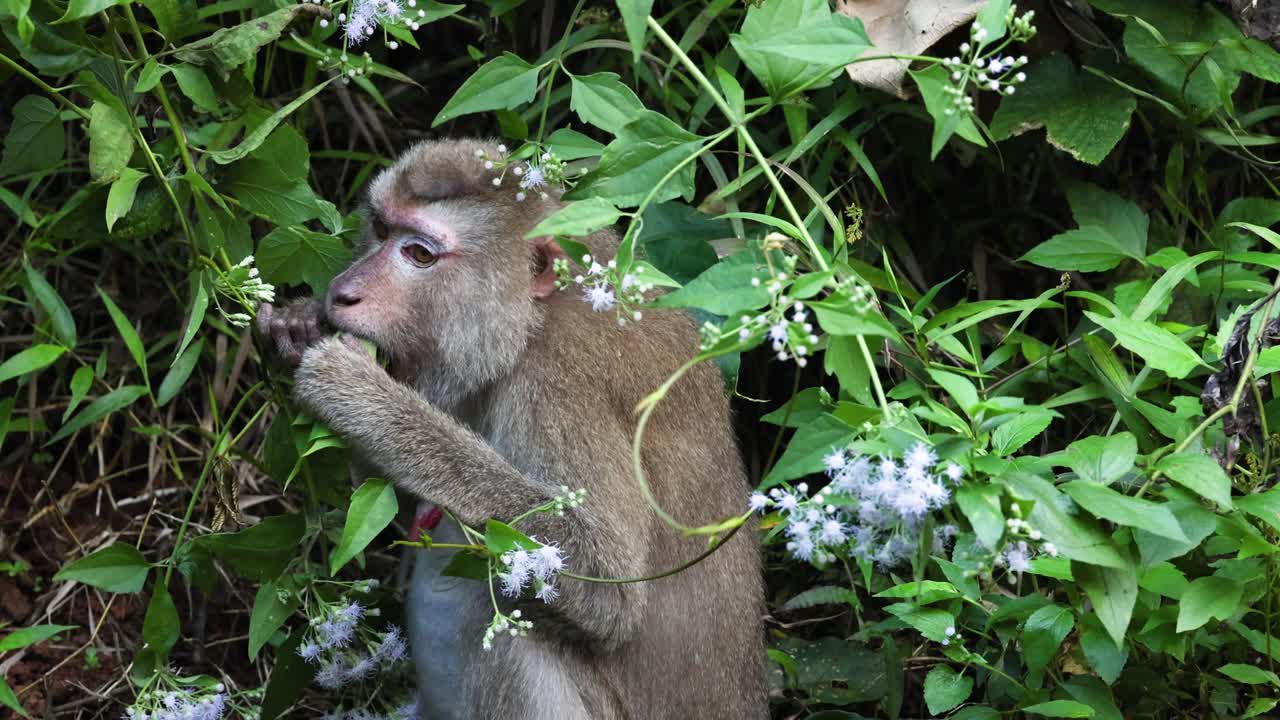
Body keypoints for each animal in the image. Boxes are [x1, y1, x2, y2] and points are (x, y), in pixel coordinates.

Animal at [258, 138, 767, 720]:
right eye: (381, 229)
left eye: (420, 255)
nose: (343, 292)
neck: (529, 323)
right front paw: (297, 326)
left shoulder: (559, 384)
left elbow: (608, 582)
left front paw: (363, 397)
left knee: (513, 619)